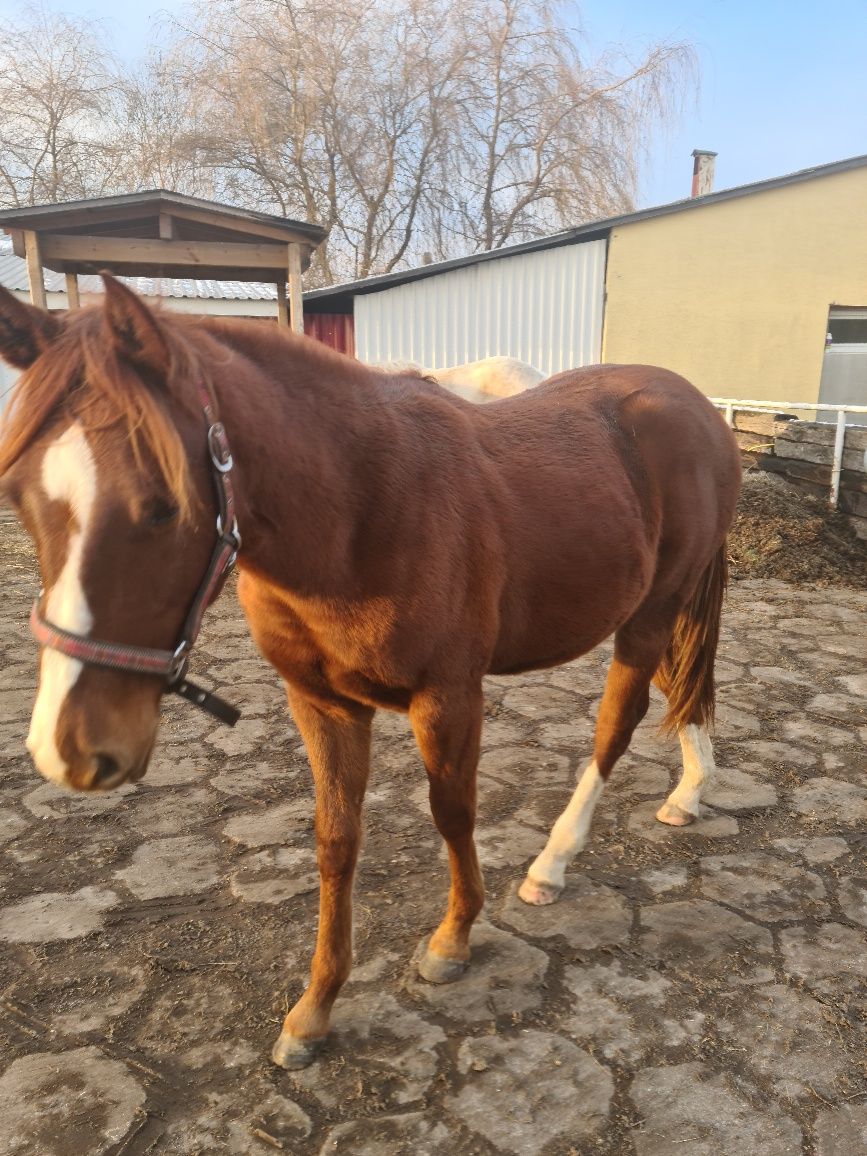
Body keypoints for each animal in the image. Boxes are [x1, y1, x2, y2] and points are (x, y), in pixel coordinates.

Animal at [0, 277, 744, 1063]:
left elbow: (452, 813)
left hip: (649, 613)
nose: (67, 750)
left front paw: (452, 940)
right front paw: (314, 1009)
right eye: (17, 495)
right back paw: (689, 792)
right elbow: (335, 842)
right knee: (681, 682)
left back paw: (553, 862)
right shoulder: (321, 704)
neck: (359, 510)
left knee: (617, 722)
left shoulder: (448, 698)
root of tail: (695, 407)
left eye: (163, 507)